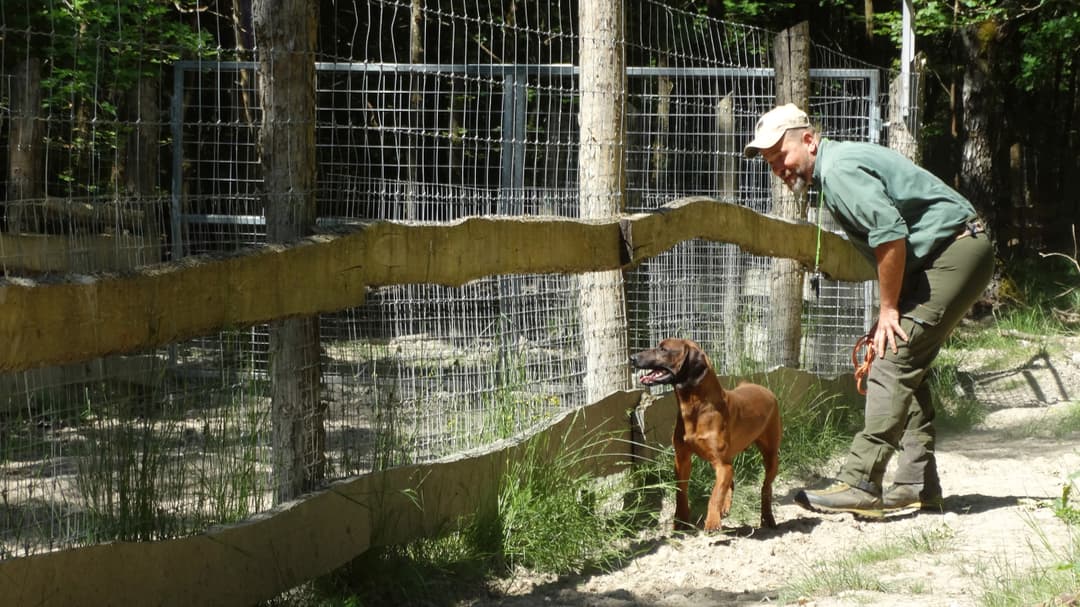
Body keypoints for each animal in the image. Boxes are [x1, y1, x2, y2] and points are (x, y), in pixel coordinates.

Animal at [630, 334, 781, 529]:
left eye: (663, 349)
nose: (632, 357)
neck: (697, 409)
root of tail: (762, 388)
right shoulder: (682, 460)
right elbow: (681, 491)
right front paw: (680, 519)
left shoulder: (722, 465)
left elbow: (715, 494)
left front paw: (712, 521)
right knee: (732, 482)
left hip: (771, 456)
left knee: (765, 488)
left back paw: (767, 517)